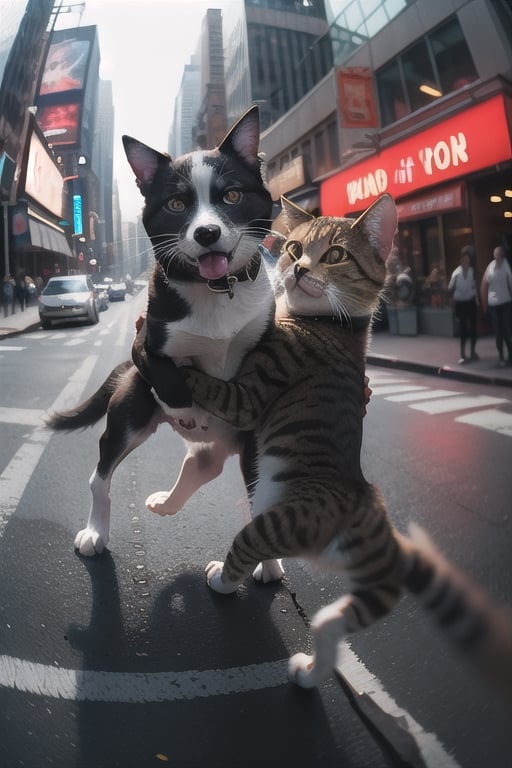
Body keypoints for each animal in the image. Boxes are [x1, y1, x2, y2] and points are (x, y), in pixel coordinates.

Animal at [46, 105, 274, 556]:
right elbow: (167, 373)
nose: (207, 233)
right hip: (129, 414)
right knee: (101, 475)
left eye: (232, 196)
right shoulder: (144, 345)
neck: (216, 290)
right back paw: (96, 530)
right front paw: (186, 407)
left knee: (213, 468)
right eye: (176, 203)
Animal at [179, 195, 512, 700]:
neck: (331, 323)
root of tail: (366, 508)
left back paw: (223, 579)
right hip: (365, 578)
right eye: (294, 248)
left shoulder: (251, 393)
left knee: (248, 543)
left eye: (335, 255)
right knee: (333, 620)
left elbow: (215, 386)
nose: (297, 268)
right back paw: (310, 667)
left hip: (290, 517)